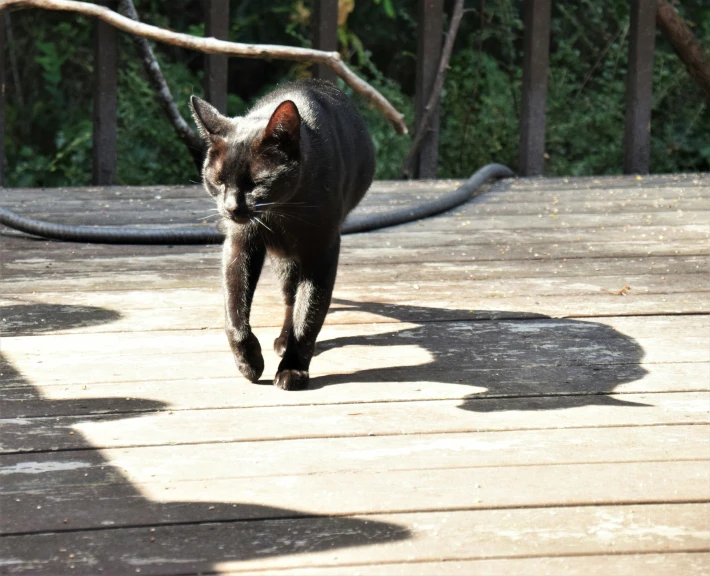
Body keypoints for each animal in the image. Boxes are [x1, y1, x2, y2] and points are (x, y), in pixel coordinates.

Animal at [192, 79, 376, 390]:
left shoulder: (322, 250)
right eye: (218, 181)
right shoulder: (239, 243)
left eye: (257, 183)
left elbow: (309, 314)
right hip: (284, 260)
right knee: (289, 297)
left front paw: (293, 369)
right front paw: (249, 363)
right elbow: (234, 311)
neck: (281, 213)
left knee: (296, 302)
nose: (230, 207)